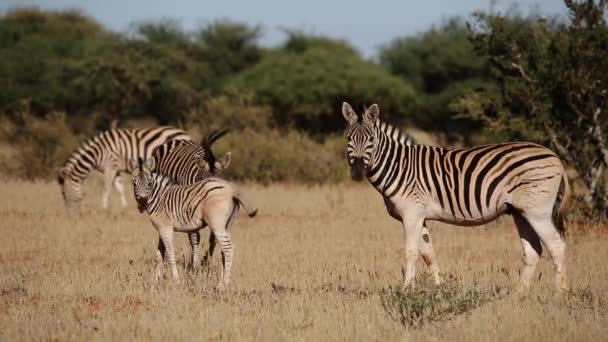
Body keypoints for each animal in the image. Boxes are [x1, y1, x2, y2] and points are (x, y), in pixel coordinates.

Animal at [57, 125, 190, 208]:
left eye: (63, 192)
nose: (69, 213)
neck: (98, 152)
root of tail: (185, 133)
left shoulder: (110, 165)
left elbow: (106, 188)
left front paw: (103, 207)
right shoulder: (115, 168)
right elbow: (120, 187)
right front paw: (124, 207)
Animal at [129, 158, 258, 288]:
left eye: (149, 183)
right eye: (134, 183)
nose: (142, 204)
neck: (160, 198)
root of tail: (231, 190)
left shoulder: (166, 228)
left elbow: (169, 253)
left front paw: (176, 280)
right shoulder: (161, 228)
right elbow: (159, 255)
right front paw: (156, 280)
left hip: (217, 225)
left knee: (228, 249)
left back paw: (224, 284)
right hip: (227, 225)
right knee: (224, 251)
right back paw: (221, 282)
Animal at [151, 128, 232, 270]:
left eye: (220, 179)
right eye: (205, 179)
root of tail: (178, 141)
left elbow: (213, 238)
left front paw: (207, 262)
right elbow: (195, 237)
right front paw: (195, 266)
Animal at [342, 102, 568, 292]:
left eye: (371, 140)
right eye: (348, 139)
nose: (358, 172)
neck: (400, 166)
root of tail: (555, 156)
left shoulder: (411, 214)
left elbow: (411, 251)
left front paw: (406, 289)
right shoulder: (420, 216)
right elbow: (429, 254)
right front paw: (438, 289)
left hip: (537, 211)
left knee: (557, 246)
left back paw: (559, 293)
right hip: (520, 211)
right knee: (533, 250)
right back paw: (518, 294)